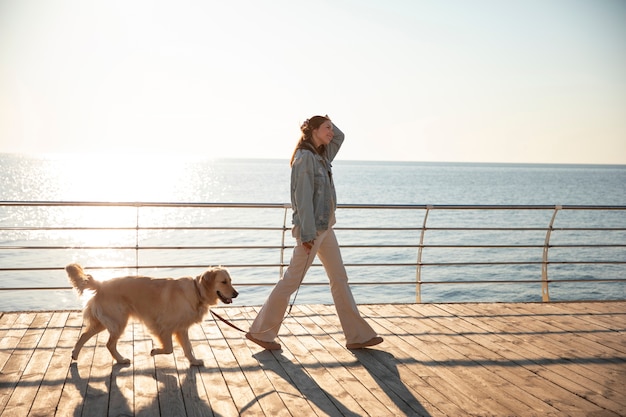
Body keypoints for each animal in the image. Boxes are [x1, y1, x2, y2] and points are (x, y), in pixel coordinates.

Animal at [66, 264, 236, 364]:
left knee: (85, 335)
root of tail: (101, 284)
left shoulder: (182, 328)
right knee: (109, 344)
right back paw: (121, 359)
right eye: (223, 282)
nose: (236, 294)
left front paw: (193, 361)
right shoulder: (164, 326)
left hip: (107, 321)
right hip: (119, 321)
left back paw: (75, 354)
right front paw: (154, 351)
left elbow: (188, 347)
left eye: (230, 280)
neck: (197, 291)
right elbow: (169, 349)